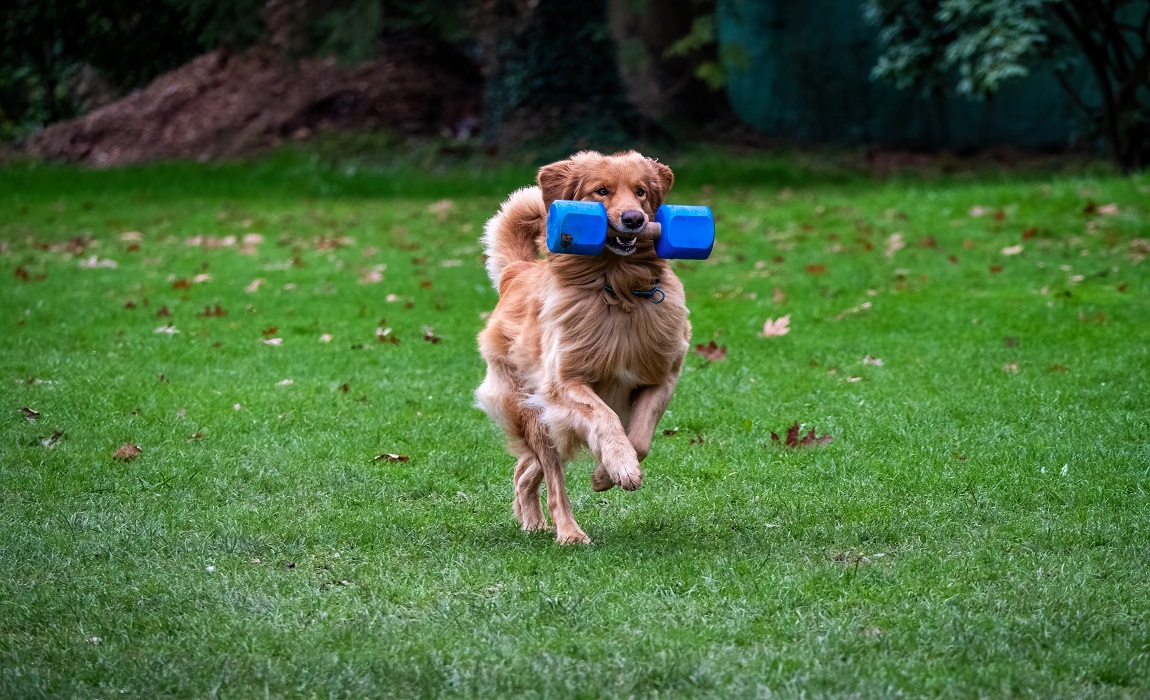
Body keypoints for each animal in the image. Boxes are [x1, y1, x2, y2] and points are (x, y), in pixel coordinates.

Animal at [476, 150, 690, 542]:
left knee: (525, 469)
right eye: (601, 191)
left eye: (640, 191)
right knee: (552, 477)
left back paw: (532, 521)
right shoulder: (565, 383)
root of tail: (517, 271)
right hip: (536, 410)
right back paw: (568, 532)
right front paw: (619, 465)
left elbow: (639, 438)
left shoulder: (662, 377)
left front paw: (607, 473)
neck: (618, 288)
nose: (634, 220)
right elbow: (605, 419)